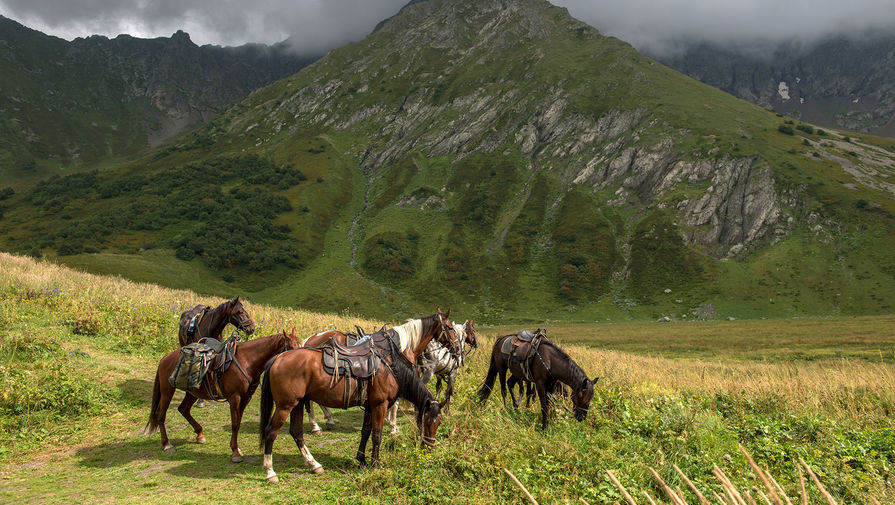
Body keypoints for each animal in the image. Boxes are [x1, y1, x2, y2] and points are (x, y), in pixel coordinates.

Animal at [143, 326, 300, 460]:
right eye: (291, 347)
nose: (298, 361)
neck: (247, 361)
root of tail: (165, 358)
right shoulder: (235, 398)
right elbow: (235, 424)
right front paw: (235, 452)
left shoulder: (246, 398)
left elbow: (238, 422)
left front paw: (236, 448)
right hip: (167, 391)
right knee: (161, 415)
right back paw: (167, 444)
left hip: (192, 392)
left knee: (183, 409)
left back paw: (199, 434)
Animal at [258, 338, 442, 480]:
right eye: (428, 421)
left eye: (439, 423)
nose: (429, 447)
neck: (392, 371)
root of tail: (277, 359)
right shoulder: (380, 406)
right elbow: (377, 436)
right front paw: (375, 464)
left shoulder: (369, 407)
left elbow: (365, 432)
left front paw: (362, 460)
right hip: (285, 406)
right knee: (271, 433)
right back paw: (270, 472)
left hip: (297, 404)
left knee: (296, 432)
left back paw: (314, 464)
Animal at [302, 308, 462, 434]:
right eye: (450, 328)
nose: (458, 349)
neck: (404, 345)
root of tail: (309, 339)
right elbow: (396, 404)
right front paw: (393, 427)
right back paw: (316, 426)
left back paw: (328, 420)